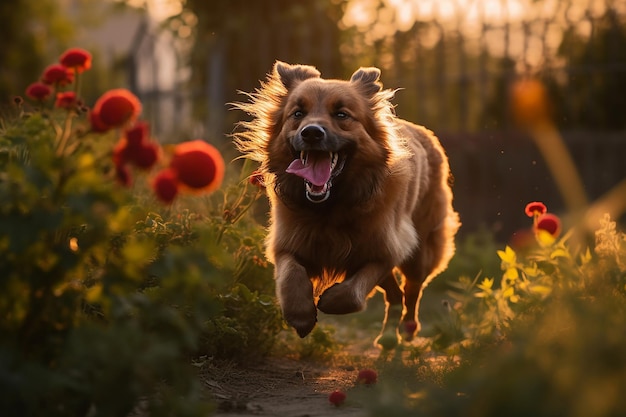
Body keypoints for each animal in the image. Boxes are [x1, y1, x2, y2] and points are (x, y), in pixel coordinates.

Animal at [234, 61, 458, 342]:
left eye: (341, 115)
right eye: (298, 113)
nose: (311, 133)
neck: (330, 207)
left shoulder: (386, 249)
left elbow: (353, 293)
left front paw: (330, 301)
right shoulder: (288, 243)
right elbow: (290, 277)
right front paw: (301, 316)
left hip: (421, 251)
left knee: (412, 289)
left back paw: (408, 329)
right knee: (395, 295)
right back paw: (388, 336)